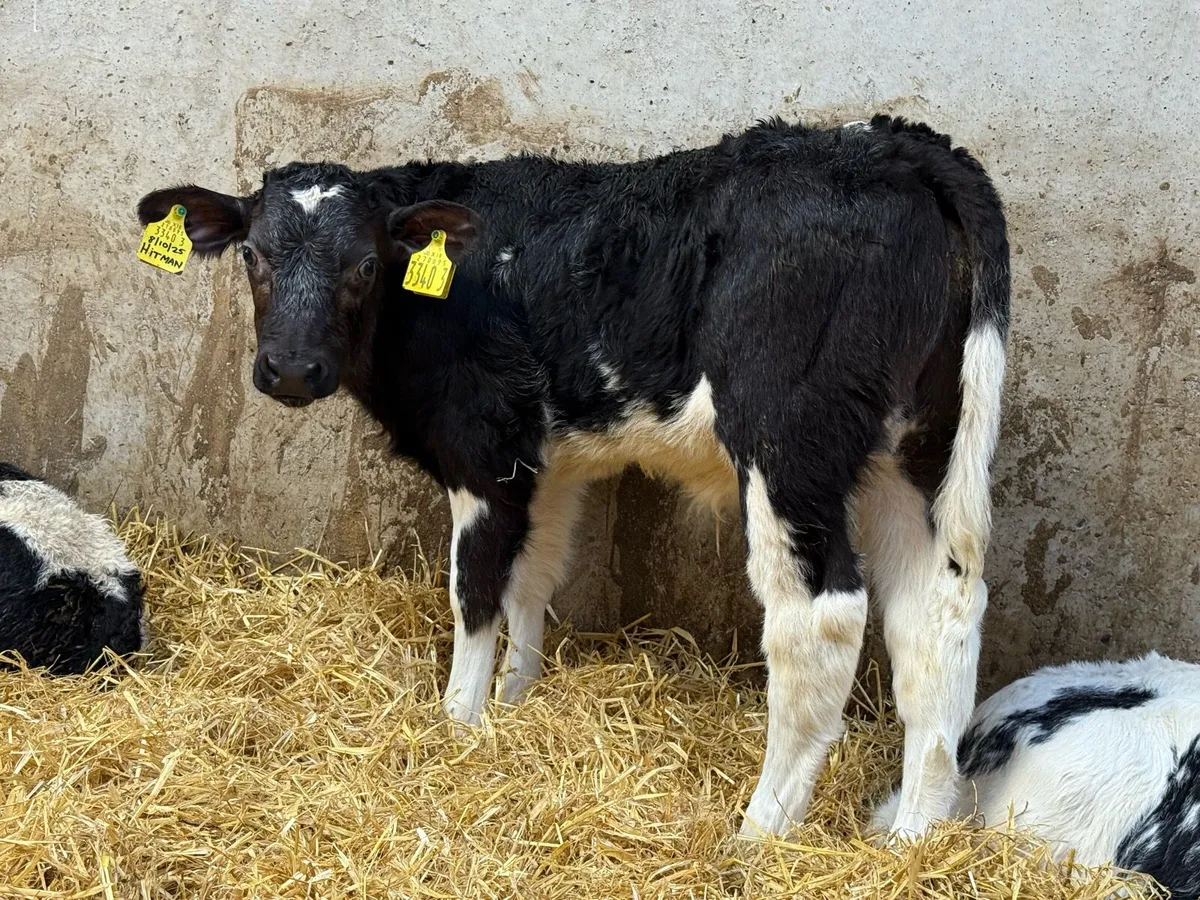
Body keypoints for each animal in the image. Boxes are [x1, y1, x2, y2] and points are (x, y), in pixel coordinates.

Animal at [138, 114, 1010, 837]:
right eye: (252, 255)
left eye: (362, 265)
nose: (290, 369)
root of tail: (899, 144)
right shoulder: (547, 460)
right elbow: (534, 574)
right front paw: (516, 698)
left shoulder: (482, 448)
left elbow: (475, 588)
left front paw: (460, 723)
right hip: (919, 446)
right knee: (937, 609)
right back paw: (913, 833)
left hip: (789, 439)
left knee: (820, 617)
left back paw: (761, 828)